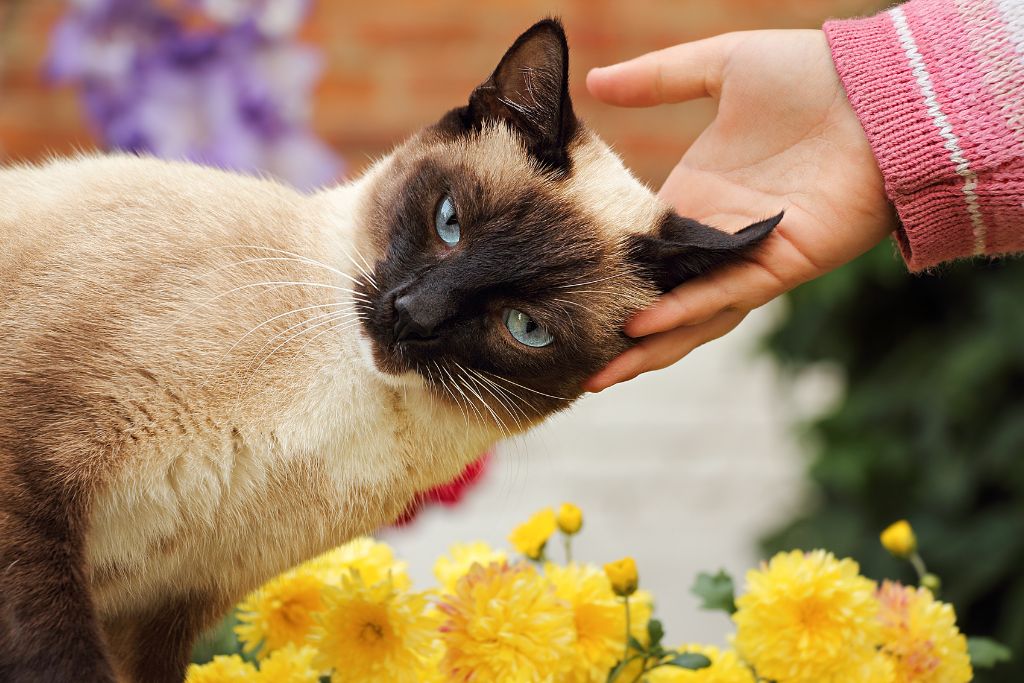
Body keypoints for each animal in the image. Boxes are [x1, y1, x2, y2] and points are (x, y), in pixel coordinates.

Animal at [0, 18, 774, 679]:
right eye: (449, 222)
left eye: (525, 327)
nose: (411, 317)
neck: (349, 398)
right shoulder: (34, 496)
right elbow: (59, 660)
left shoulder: (164, 609)